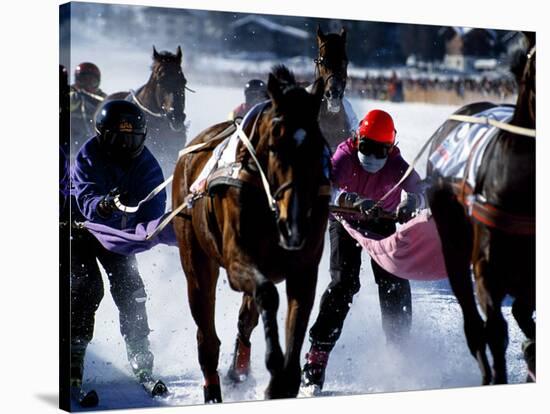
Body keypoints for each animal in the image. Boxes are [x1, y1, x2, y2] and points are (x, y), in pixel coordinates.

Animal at [174, 64, 328, 402]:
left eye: (317, 147)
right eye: (274, 145)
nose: (293, 223)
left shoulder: (304, 265)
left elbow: (297, 313)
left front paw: (284, 379)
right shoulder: (237, 259)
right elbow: (267, 294)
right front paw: (274, 366)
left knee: (246, 318)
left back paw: (238, 369)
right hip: (194, 254)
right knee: (206, 333)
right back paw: (213, 388)